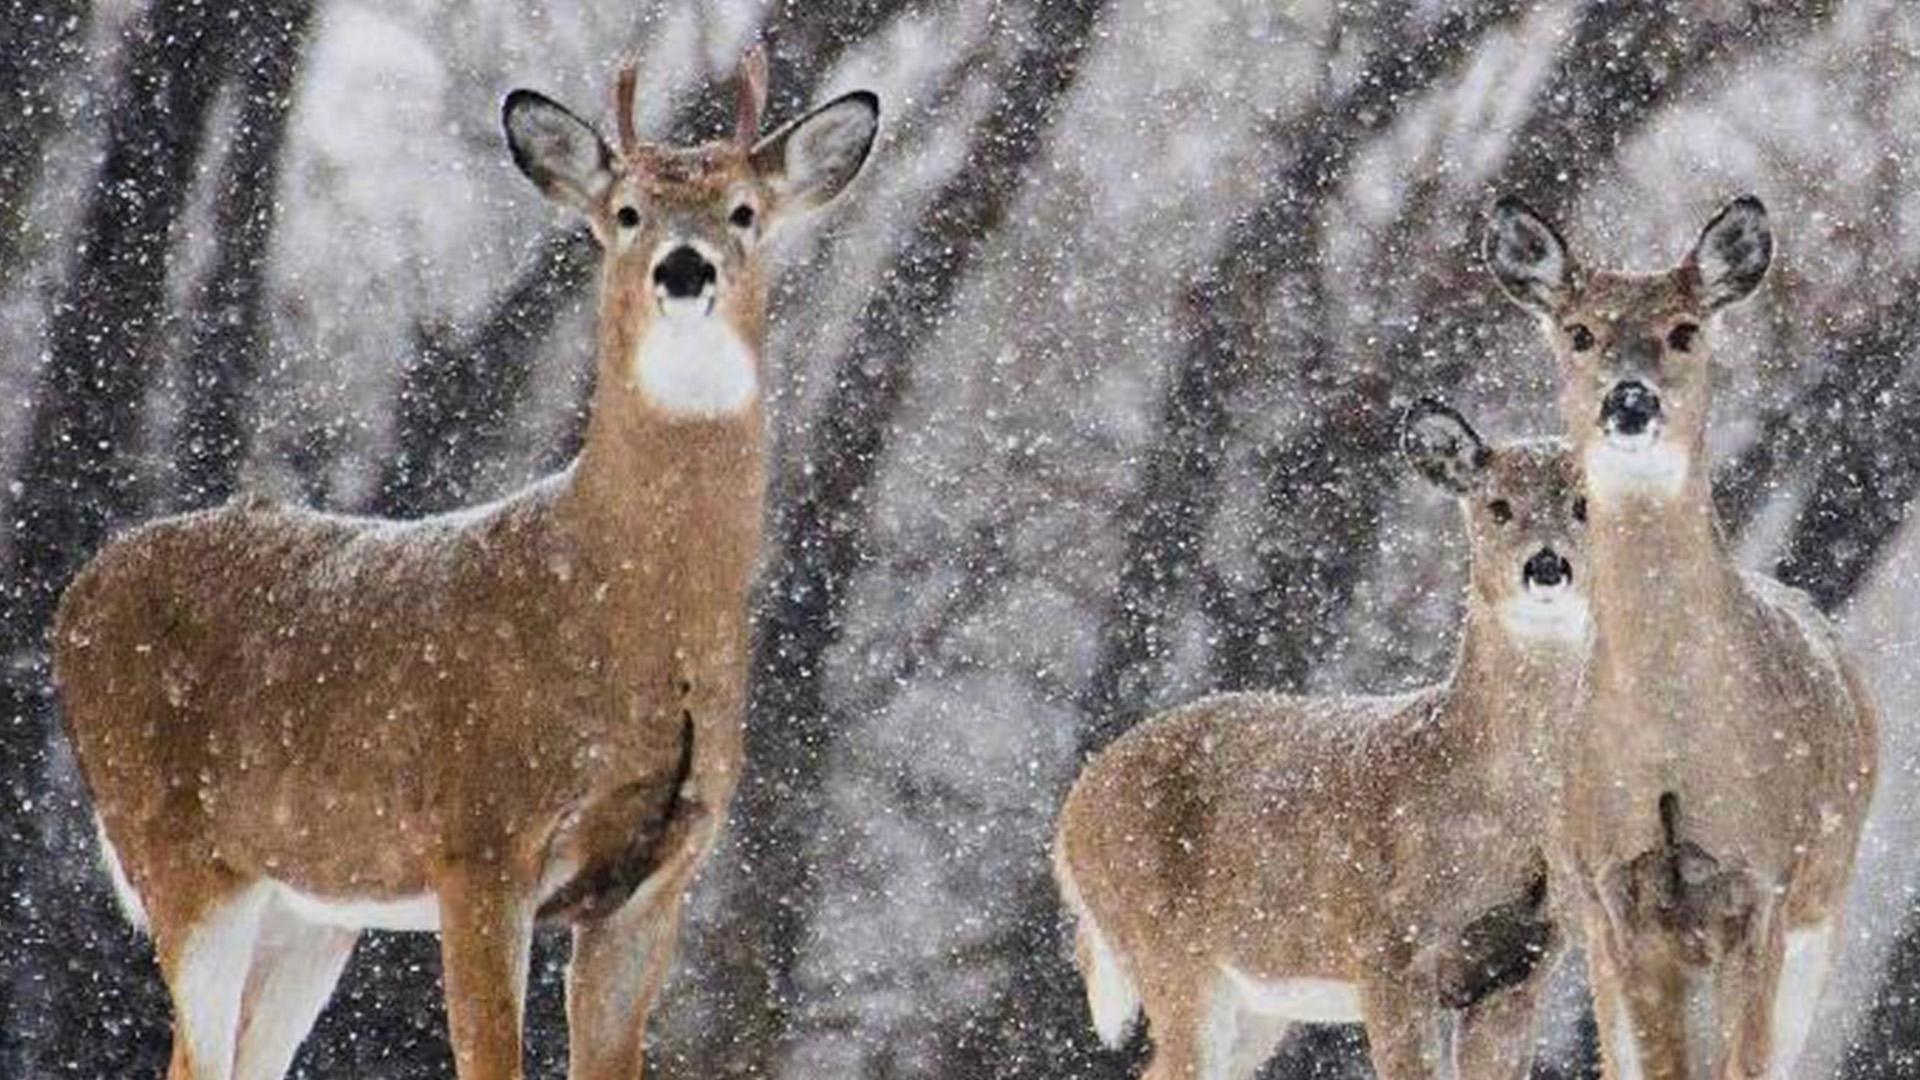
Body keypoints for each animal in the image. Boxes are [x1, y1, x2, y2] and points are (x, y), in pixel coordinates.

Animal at [52, 48, 879, 1076]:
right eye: (627, 212)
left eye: (743, 210)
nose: (683, 268)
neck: (633, 615)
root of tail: (78, 593)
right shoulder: (479, 841)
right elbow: (492, 1057)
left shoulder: (659, 878)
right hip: (181, 848)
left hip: (314, 900)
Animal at [1059, 405, 1582, 1076]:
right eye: (1497, 505)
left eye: (1584, 503)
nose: (1546, 565)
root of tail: (1072, 810)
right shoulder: (1387, 950)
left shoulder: (1525, 963)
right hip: (1166, 945)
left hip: (1257, 1001)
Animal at [1482, 195, 1873, 1076]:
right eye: (1579, 332)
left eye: (1686, 329)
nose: (1629, 401)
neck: (1673, 746)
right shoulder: (1622, 898)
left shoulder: (1760, 883)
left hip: (1825, 908)